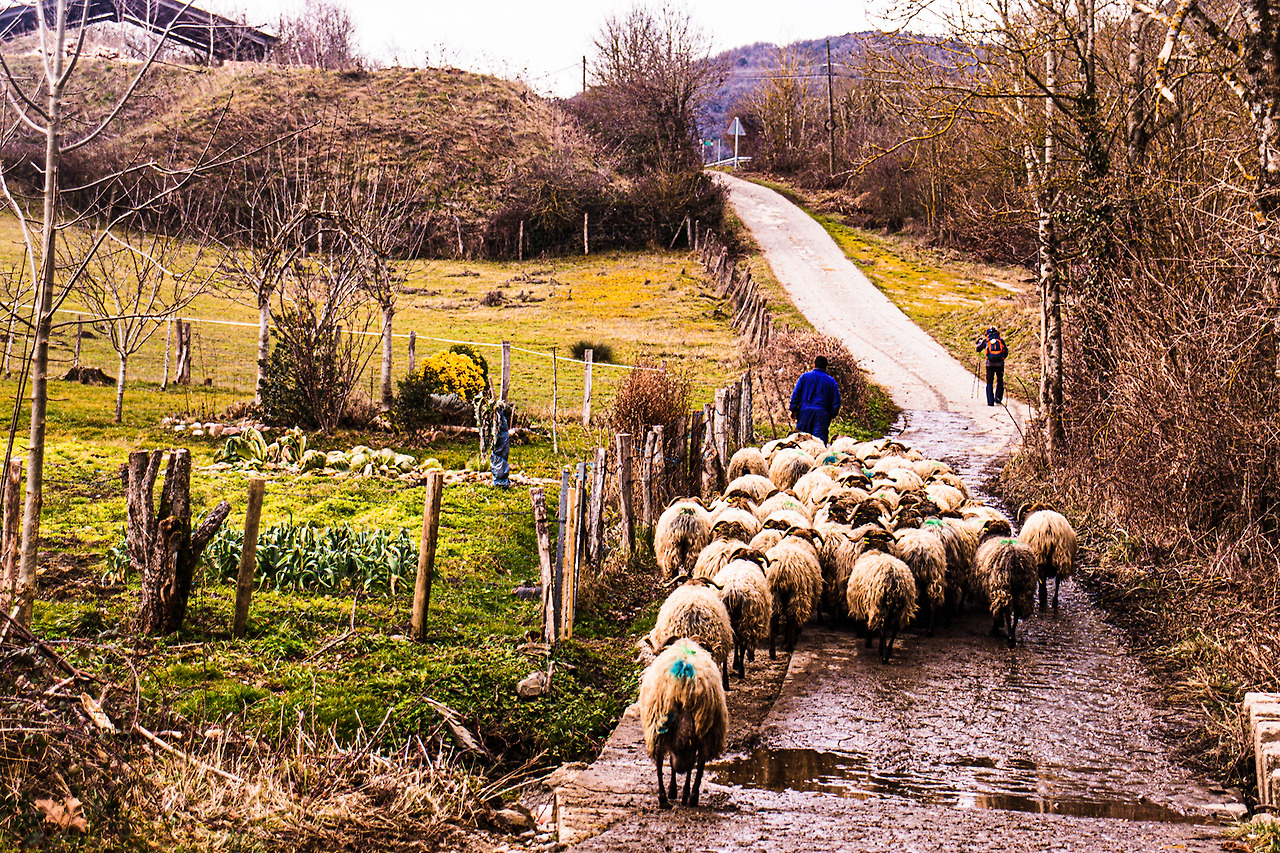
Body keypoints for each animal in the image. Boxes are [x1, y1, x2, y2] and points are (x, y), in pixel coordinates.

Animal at [638, 639, 728, 809]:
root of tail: (685, 674)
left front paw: (673, 790)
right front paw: (677, 791)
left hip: (662, 720)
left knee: (662, 758)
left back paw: (665, 798)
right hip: (704, 726)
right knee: (697, 761)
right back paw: (690, 796)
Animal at [713, 549, 773, 679]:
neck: (746, 559)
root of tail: (732, 591)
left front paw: (735, 662)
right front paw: (739, 663)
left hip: (726, 622)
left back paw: (725, 678)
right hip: (746, 620)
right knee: (743, 644)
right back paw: (741, 672)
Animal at [845, 529, 918, 663]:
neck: (876, 550)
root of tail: (893, 576)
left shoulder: (867, 602)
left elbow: (867, 622)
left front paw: (868, 642)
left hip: (879, 603)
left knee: (883, 628)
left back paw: (884, 656)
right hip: (902, 606)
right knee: (895, 628)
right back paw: (888, 650)